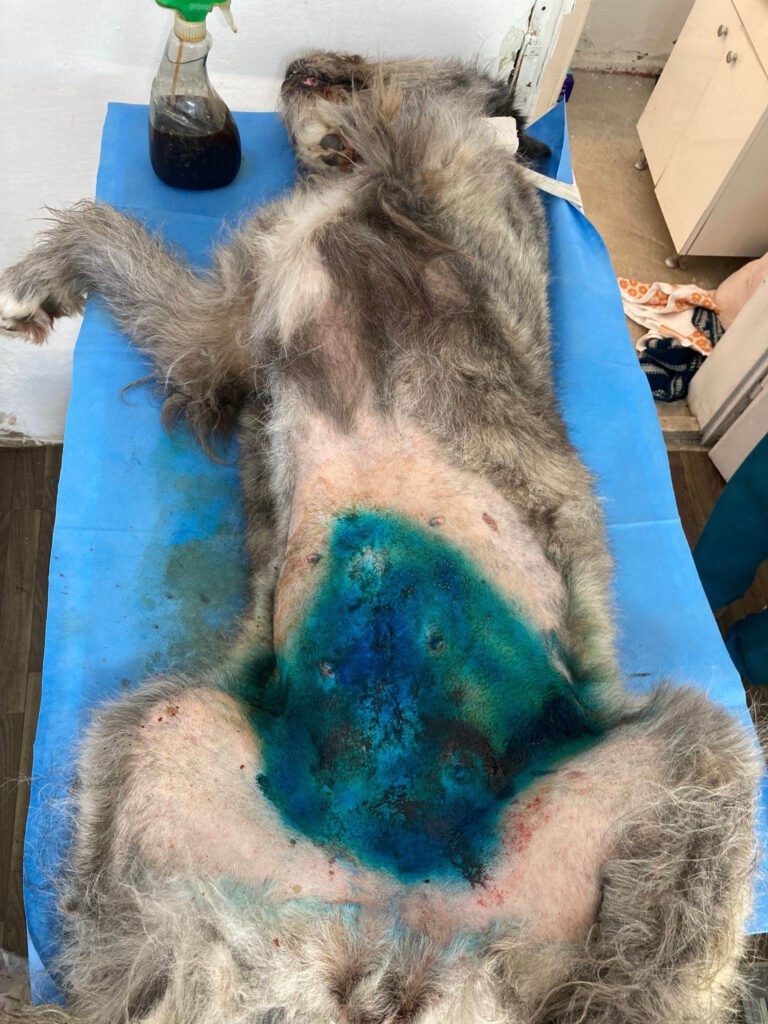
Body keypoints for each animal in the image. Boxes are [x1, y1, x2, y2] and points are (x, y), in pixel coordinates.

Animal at [0, 53, 759, 1024]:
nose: (299, 65)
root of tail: (400, 952)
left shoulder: (420, 189)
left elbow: (417, 127)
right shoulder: (226, 325)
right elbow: (120, 241)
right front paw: (43, 274)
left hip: (701, 761)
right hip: (162, 750)